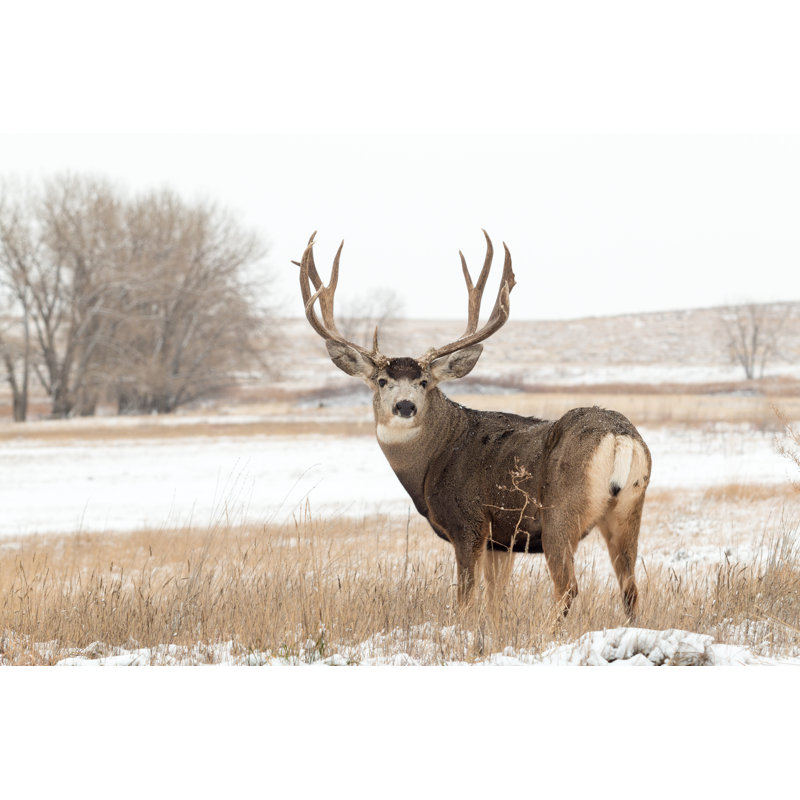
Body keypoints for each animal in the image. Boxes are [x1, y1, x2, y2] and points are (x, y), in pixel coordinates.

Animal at [295, 230, 652, 619]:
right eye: (381, 381)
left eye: (424, 382)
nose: (404, 406)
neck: (435, 458)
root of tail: (620, 438)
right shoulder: (501, 539)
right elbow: (496, 598)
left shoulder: (469, 524)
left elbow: (466, 598)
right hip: (629, 508)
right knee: (631, 588)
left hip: (560, 513)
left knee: (568, 588)